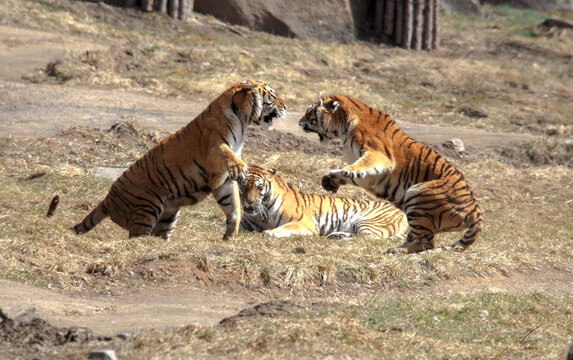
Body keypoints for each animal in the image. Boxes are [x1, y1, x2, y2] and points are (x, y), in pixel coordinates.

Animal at [72, 80, 286, 240]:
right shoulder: (213, 148)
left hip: (169, 215)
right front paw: (241, 168)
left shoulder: (223, 180)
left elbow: (233, 208)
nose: (286, 107)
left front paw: (230, 236)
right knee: (137, 236)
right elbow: (227, 154)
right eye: (272, 95)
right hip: (147, 207)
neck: (243, 122)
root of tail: (108, 199)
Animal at [237, 165, 406, 240]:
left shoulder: (304, 223)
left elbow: (285, 227)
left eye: (259, 188)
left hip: (367, 222)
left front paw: (270, 232)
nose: (250, 202)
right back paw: (337, 235)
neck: (262, 211)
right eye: (243, 186)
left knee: (368, 238)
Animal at [300, 95, 482, 253]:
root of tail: (476, 212)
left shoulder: (377, 155)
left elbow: (353, 168)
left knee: (424, 242)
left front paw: (334, 175)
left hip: (418, 195)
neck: (343, 127)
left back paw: (396, 250)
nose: (299, 122)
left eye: (310, 111)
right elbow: (355, 174)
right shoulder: (371, 176)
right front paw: (331, 180)